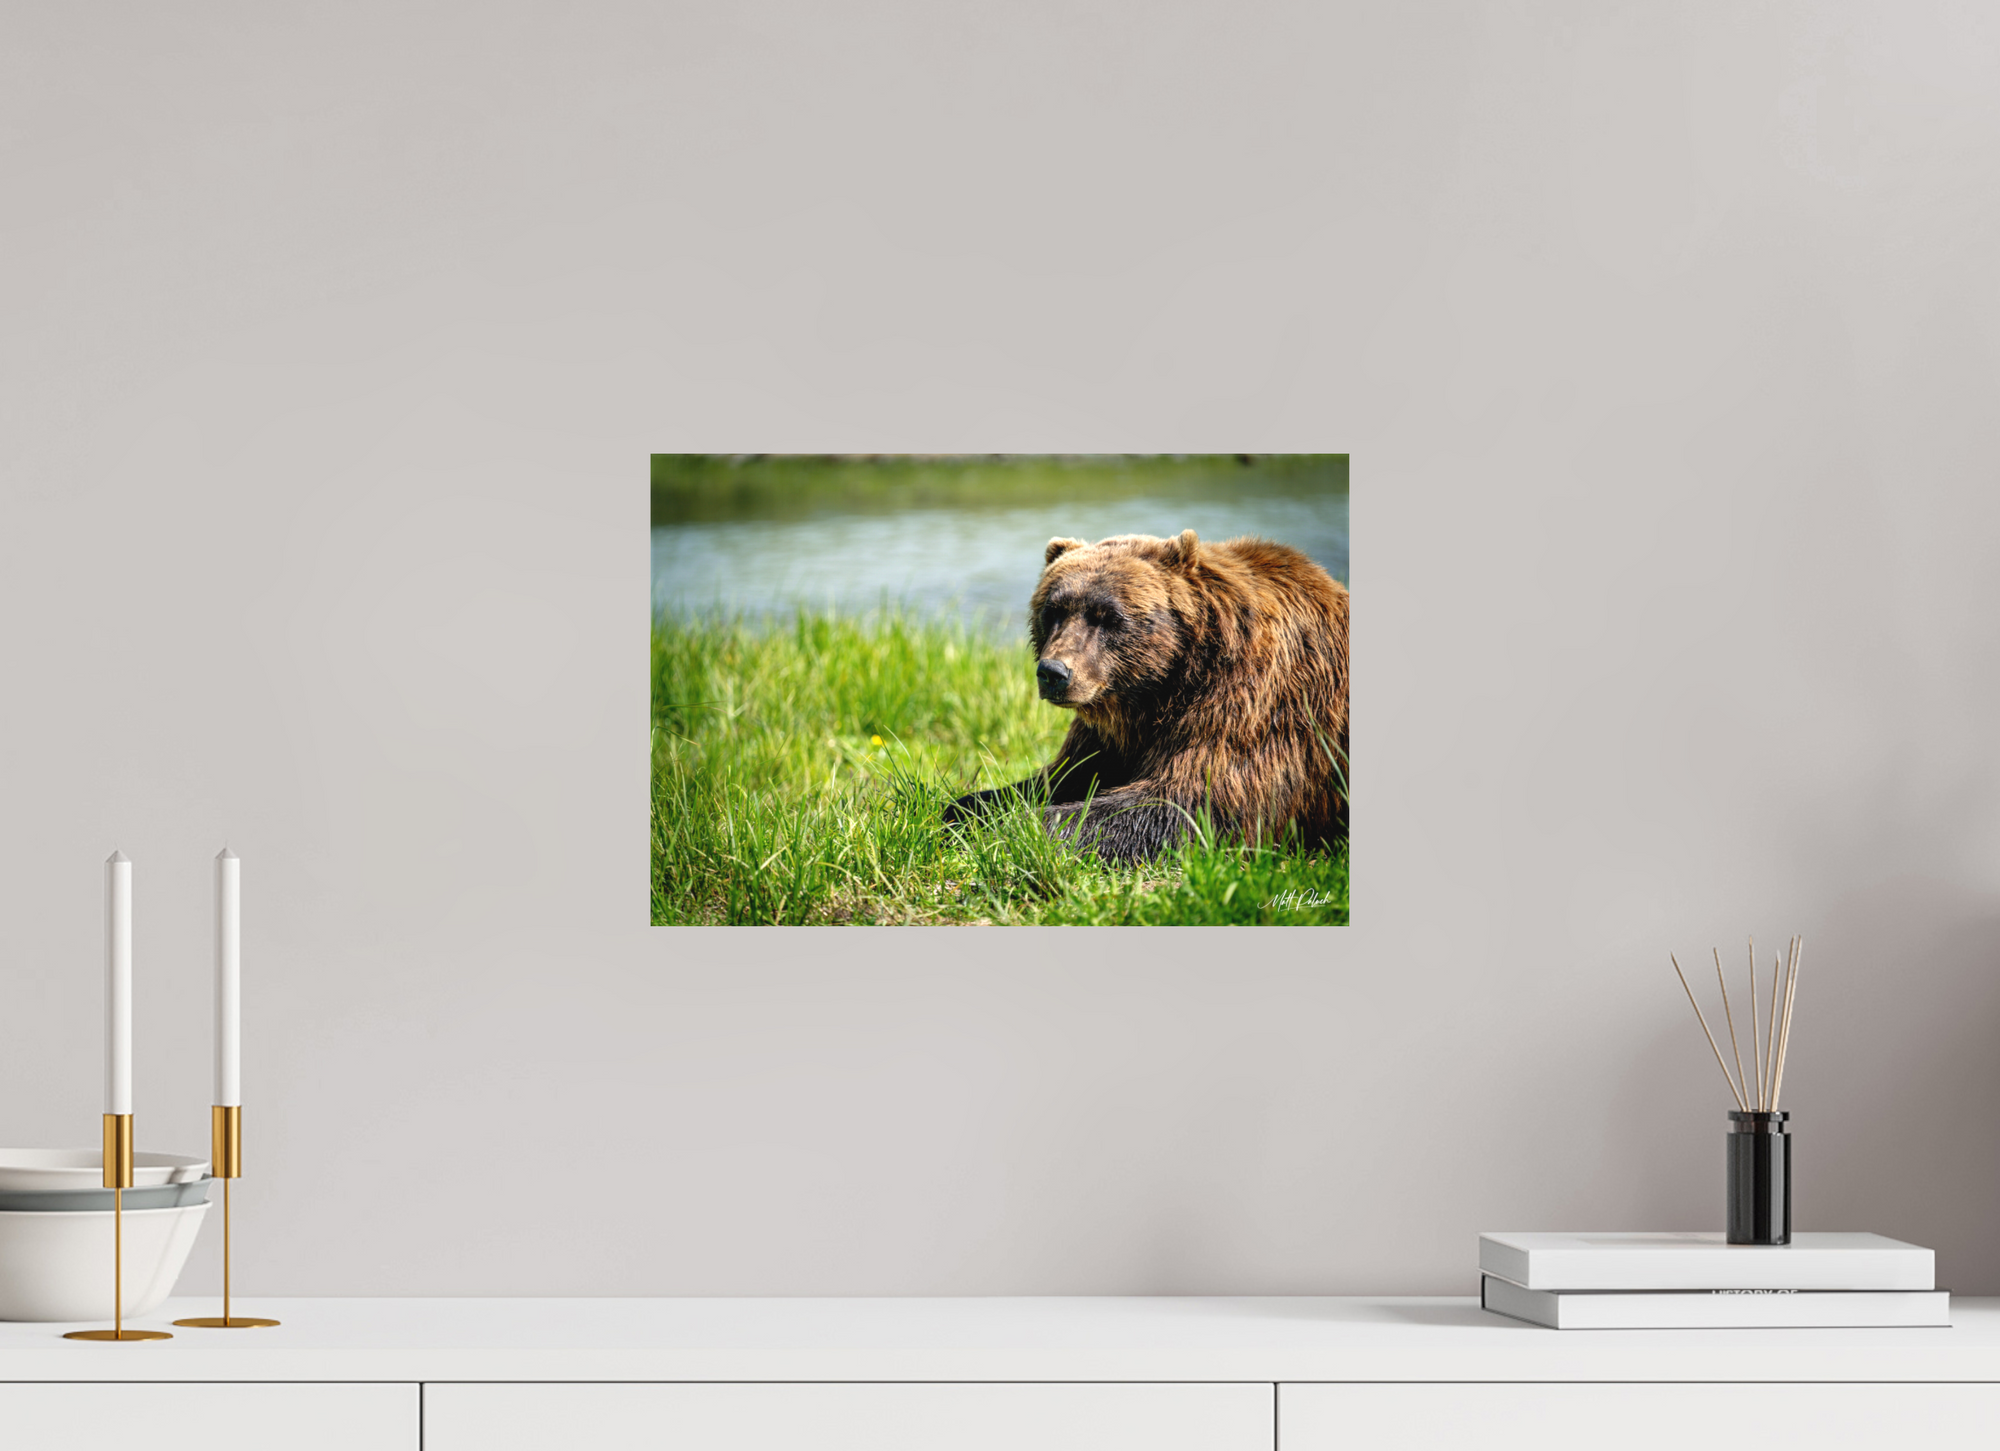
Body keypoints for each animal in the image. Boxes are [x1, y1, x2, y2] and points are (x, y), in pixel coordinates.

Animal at [945, 528, 1348, 864]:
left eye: (1108, 616)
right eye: (1053, 610)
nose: (1054, 673)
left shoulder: (1252, 702)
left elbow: (1189, 803)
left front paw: (1016, 826)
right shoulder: (1109, 732)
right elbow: (1062, 776)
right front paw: (962, 808)